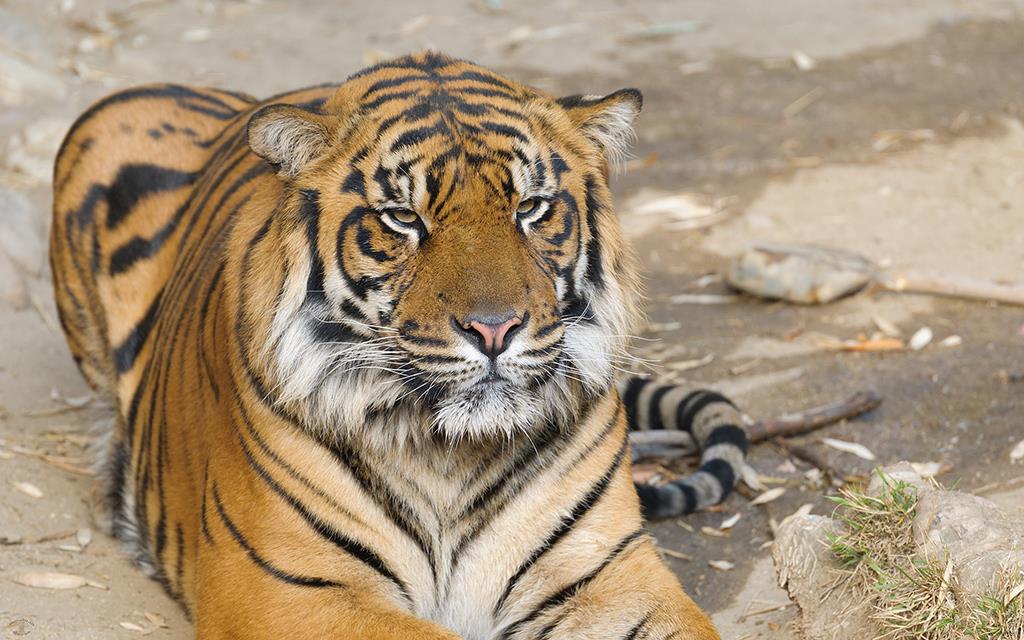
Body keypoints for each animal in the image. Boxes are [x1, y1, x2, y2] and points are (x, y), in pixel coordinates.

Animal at [51, 51, 745, 638]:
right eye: (403, 218)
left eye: (530, 207)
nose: (495, 329)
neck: (450, 458)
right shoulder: (288, 591)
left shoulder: (607, 574)